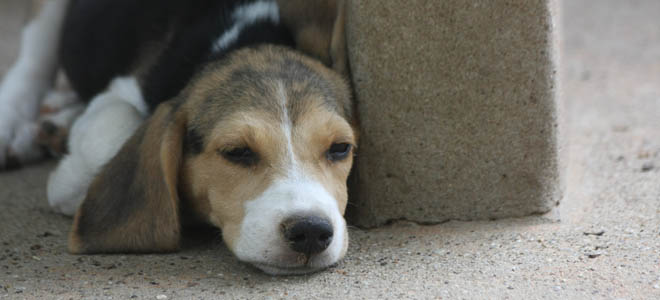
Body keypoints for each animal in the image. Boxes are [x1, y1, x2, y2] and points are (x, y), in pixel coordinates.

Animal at [0, 0, 358, 274]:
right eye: (237, 151)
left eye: (340, 148)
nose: (310, 231)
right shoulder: (121, 91)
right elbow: (117, 125)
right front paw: (67, 181)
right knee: (31, 65)